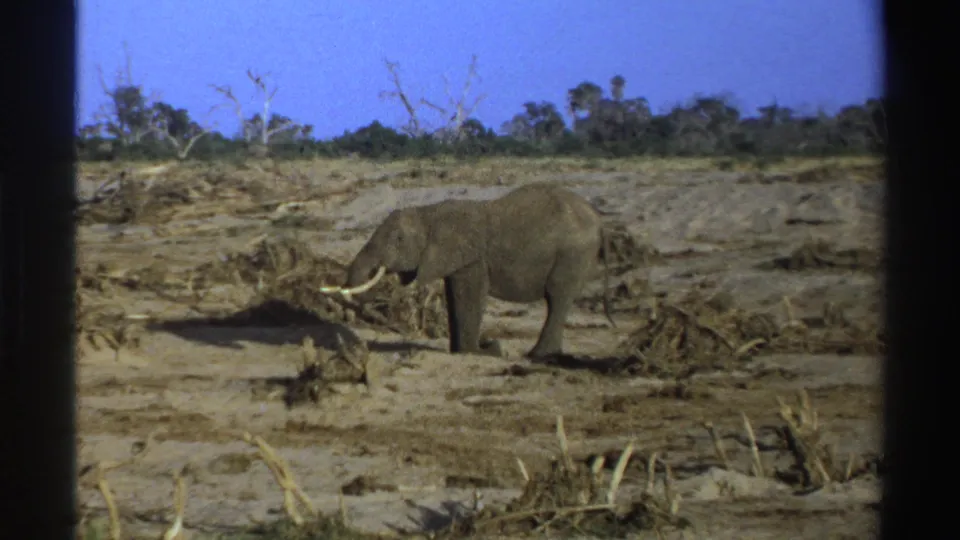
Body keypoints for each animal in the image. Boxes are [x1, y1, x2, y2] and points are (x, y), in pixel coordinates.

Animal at [320, 183, 615, 359]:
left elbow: (469, 296)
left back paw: (537, 356)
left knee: (557, 297)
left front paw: (481, 352)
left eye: (399, 240)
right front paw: (461, 352)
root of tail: (600, 220)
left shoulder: (471, 258)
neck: (430, 213)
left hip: (572, 254)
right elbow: (454, 296)